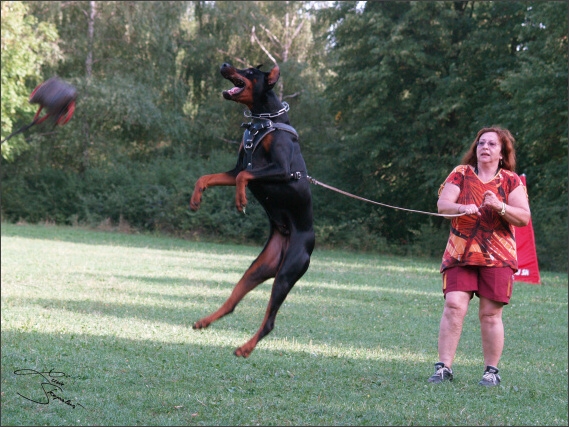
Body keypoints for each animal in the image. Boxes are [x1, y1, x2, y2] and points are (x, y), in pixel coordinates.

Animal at [190, 62, 316, 358]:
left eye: (249, 72)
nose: (224, 64)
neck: (263, 121)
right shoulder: (237, 166)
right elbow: (210, 176)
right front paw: (196, 197)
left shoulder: (282, 170)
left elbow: (244, 177)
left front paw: (241, 200)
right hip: (260, 267)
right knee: (233, 302)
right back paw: (205, 321)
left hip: (286, 273)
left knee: (269, 321)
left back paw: (246, 348)